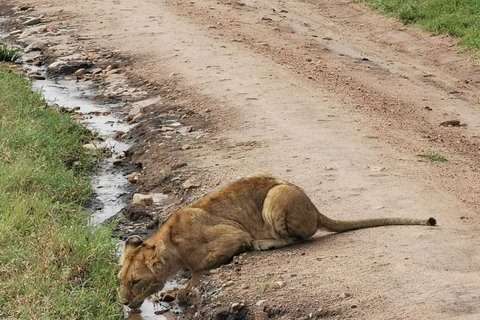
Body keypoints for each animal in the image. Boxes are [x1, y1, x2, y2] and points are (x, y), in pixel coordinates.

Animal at [116, 171, 436, 308]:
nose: (122, 302)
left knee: (300, 238)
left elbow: (199, 270)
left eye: (136, 281)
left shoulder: (233, 235)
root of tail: (314, 206)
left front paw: (184, 290)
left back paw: (265, 243)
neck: (170, 242)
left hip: (276, 196)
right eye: (119, 280)